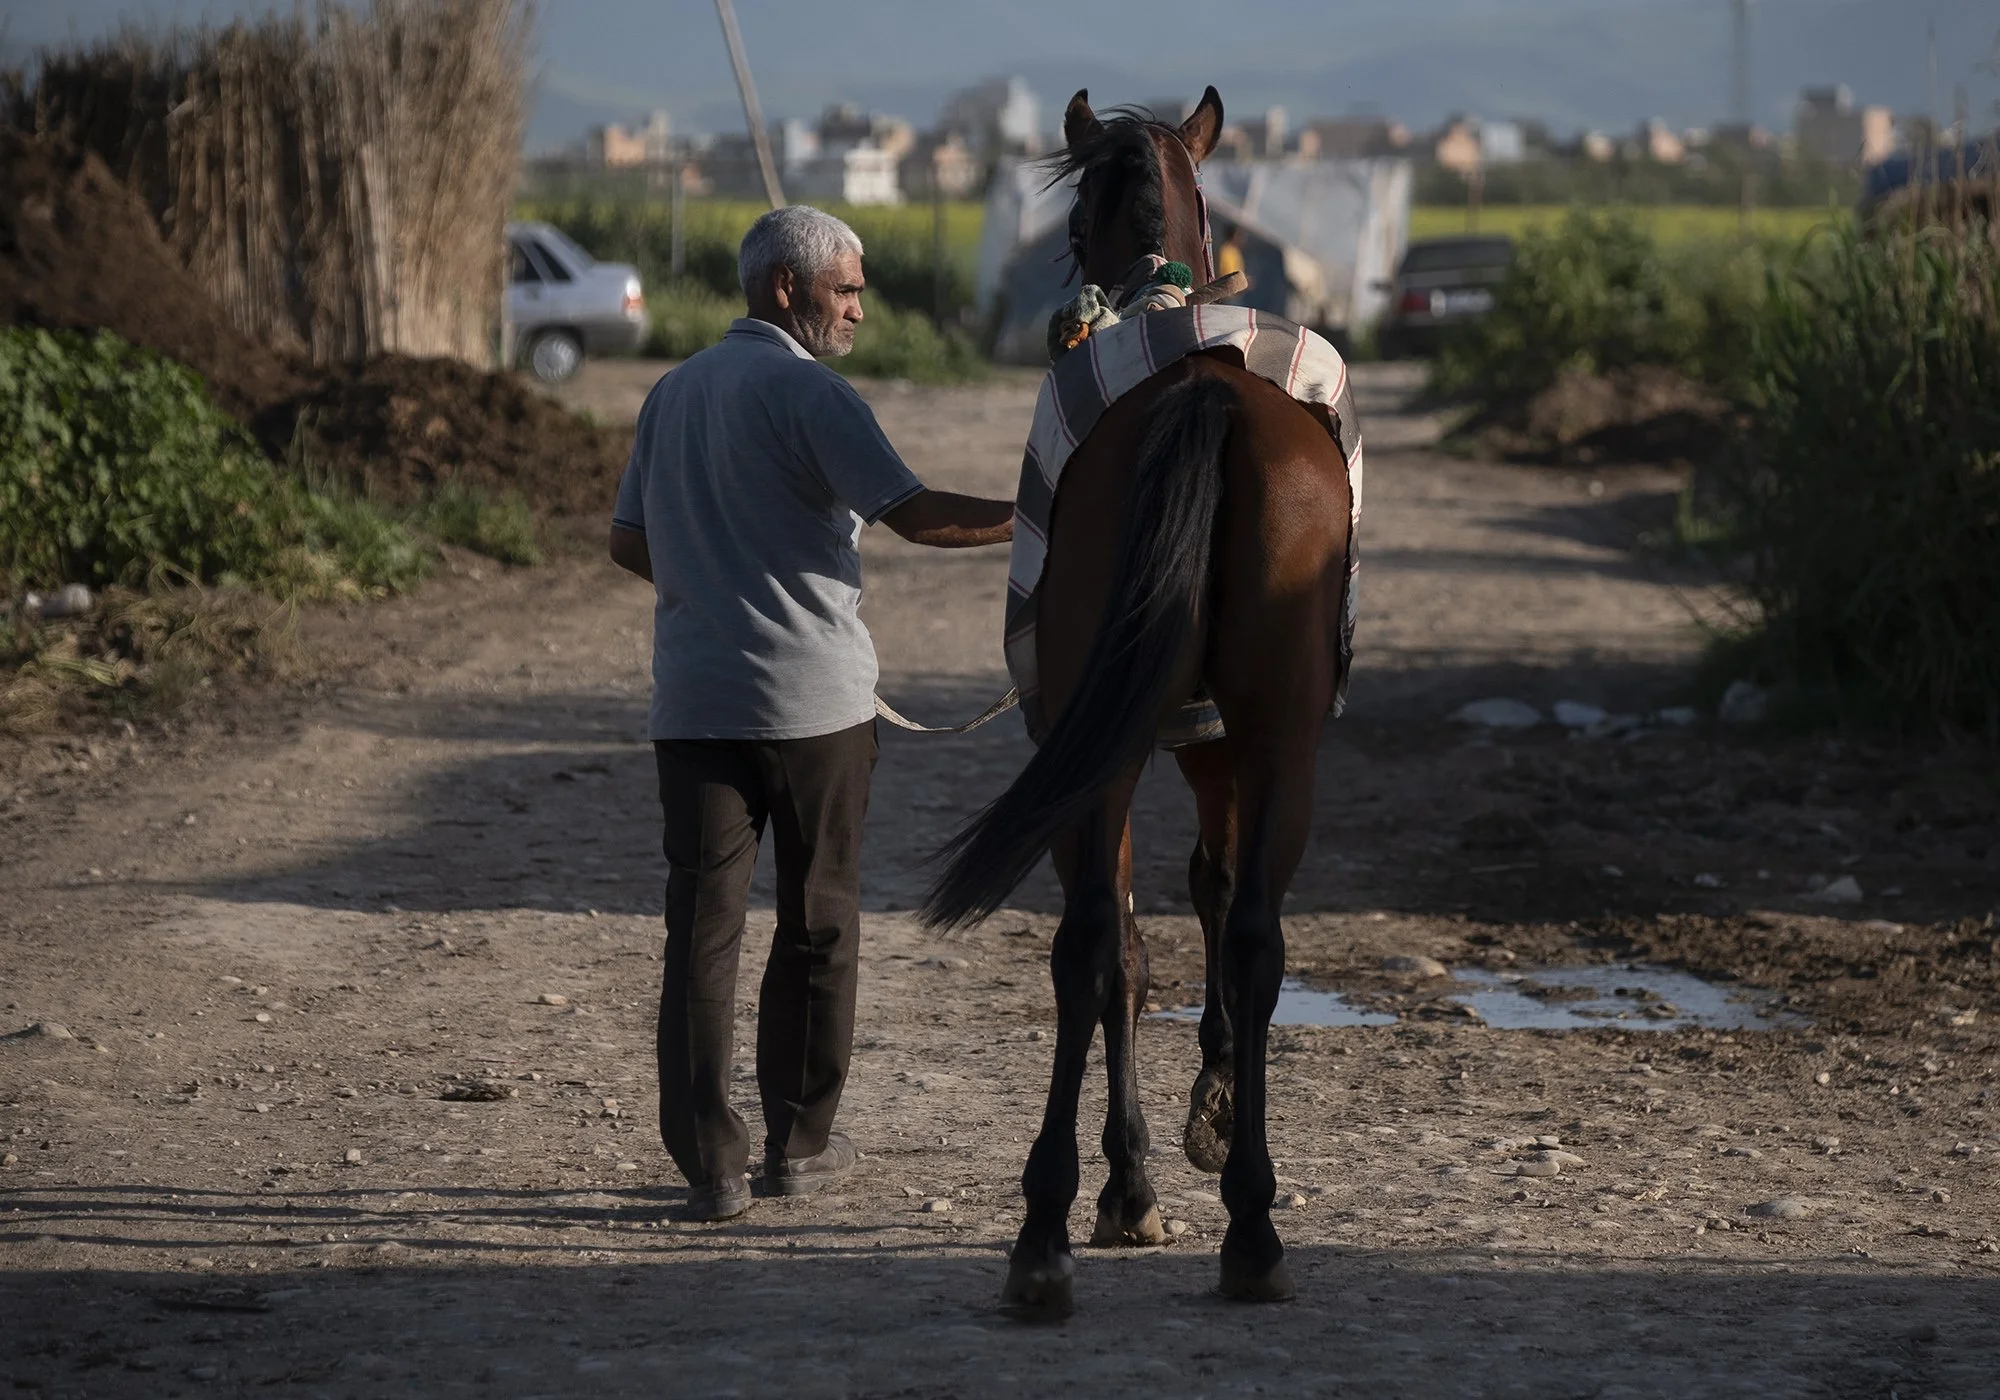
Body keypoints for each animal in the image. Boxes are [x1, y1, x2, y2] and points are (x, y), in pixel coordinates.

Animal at [920, 86, 1358, 1317]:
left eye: (1071, 233)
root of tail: (1203, 392)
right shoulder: (1210, 743)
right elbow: (1206, 896)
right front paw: (1205, 1118)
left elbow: (1146, 931)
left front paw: (1139, 1173)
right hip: (1273, 735)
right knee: (1244, 935)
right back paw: (1247, 1223)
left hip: (1114, 745)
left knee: (1095, 945)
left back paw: (1057, 1223)